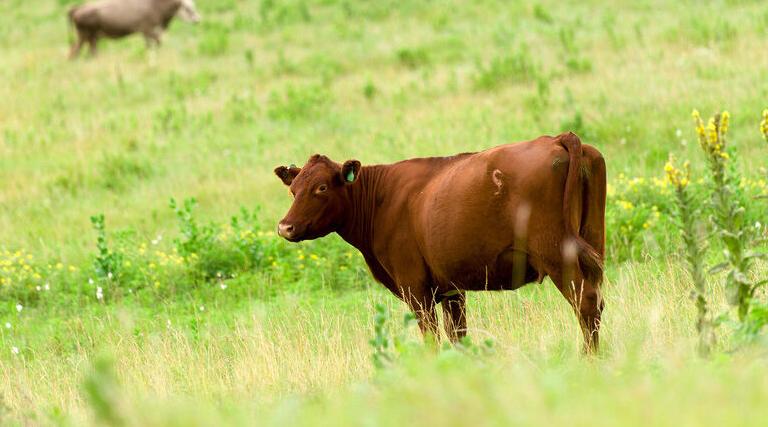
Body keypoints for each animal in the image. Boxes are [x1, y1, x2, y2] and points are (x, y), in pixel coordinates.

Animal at [67, 0, 201, 59]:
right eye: (188, 8)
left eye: (194, 6)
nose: (197, 19)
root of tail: (78, 7)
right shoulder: (147, 30)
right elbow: (152, 46)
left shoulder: (153, 32)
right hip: (86, 35)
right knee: (75, 51)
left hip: (90, 37)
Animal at [274, 132, 606, 352]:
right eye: (293, 189)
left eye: (321, 187)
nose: (285, 227)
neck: (381, 200)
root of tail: (556, 138)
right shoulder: (451, 288)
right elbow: (458, 334)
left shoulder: (415, 287)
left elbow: (432, 337)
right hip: (592, 244)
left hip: (556, 253)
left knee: (585, 302)